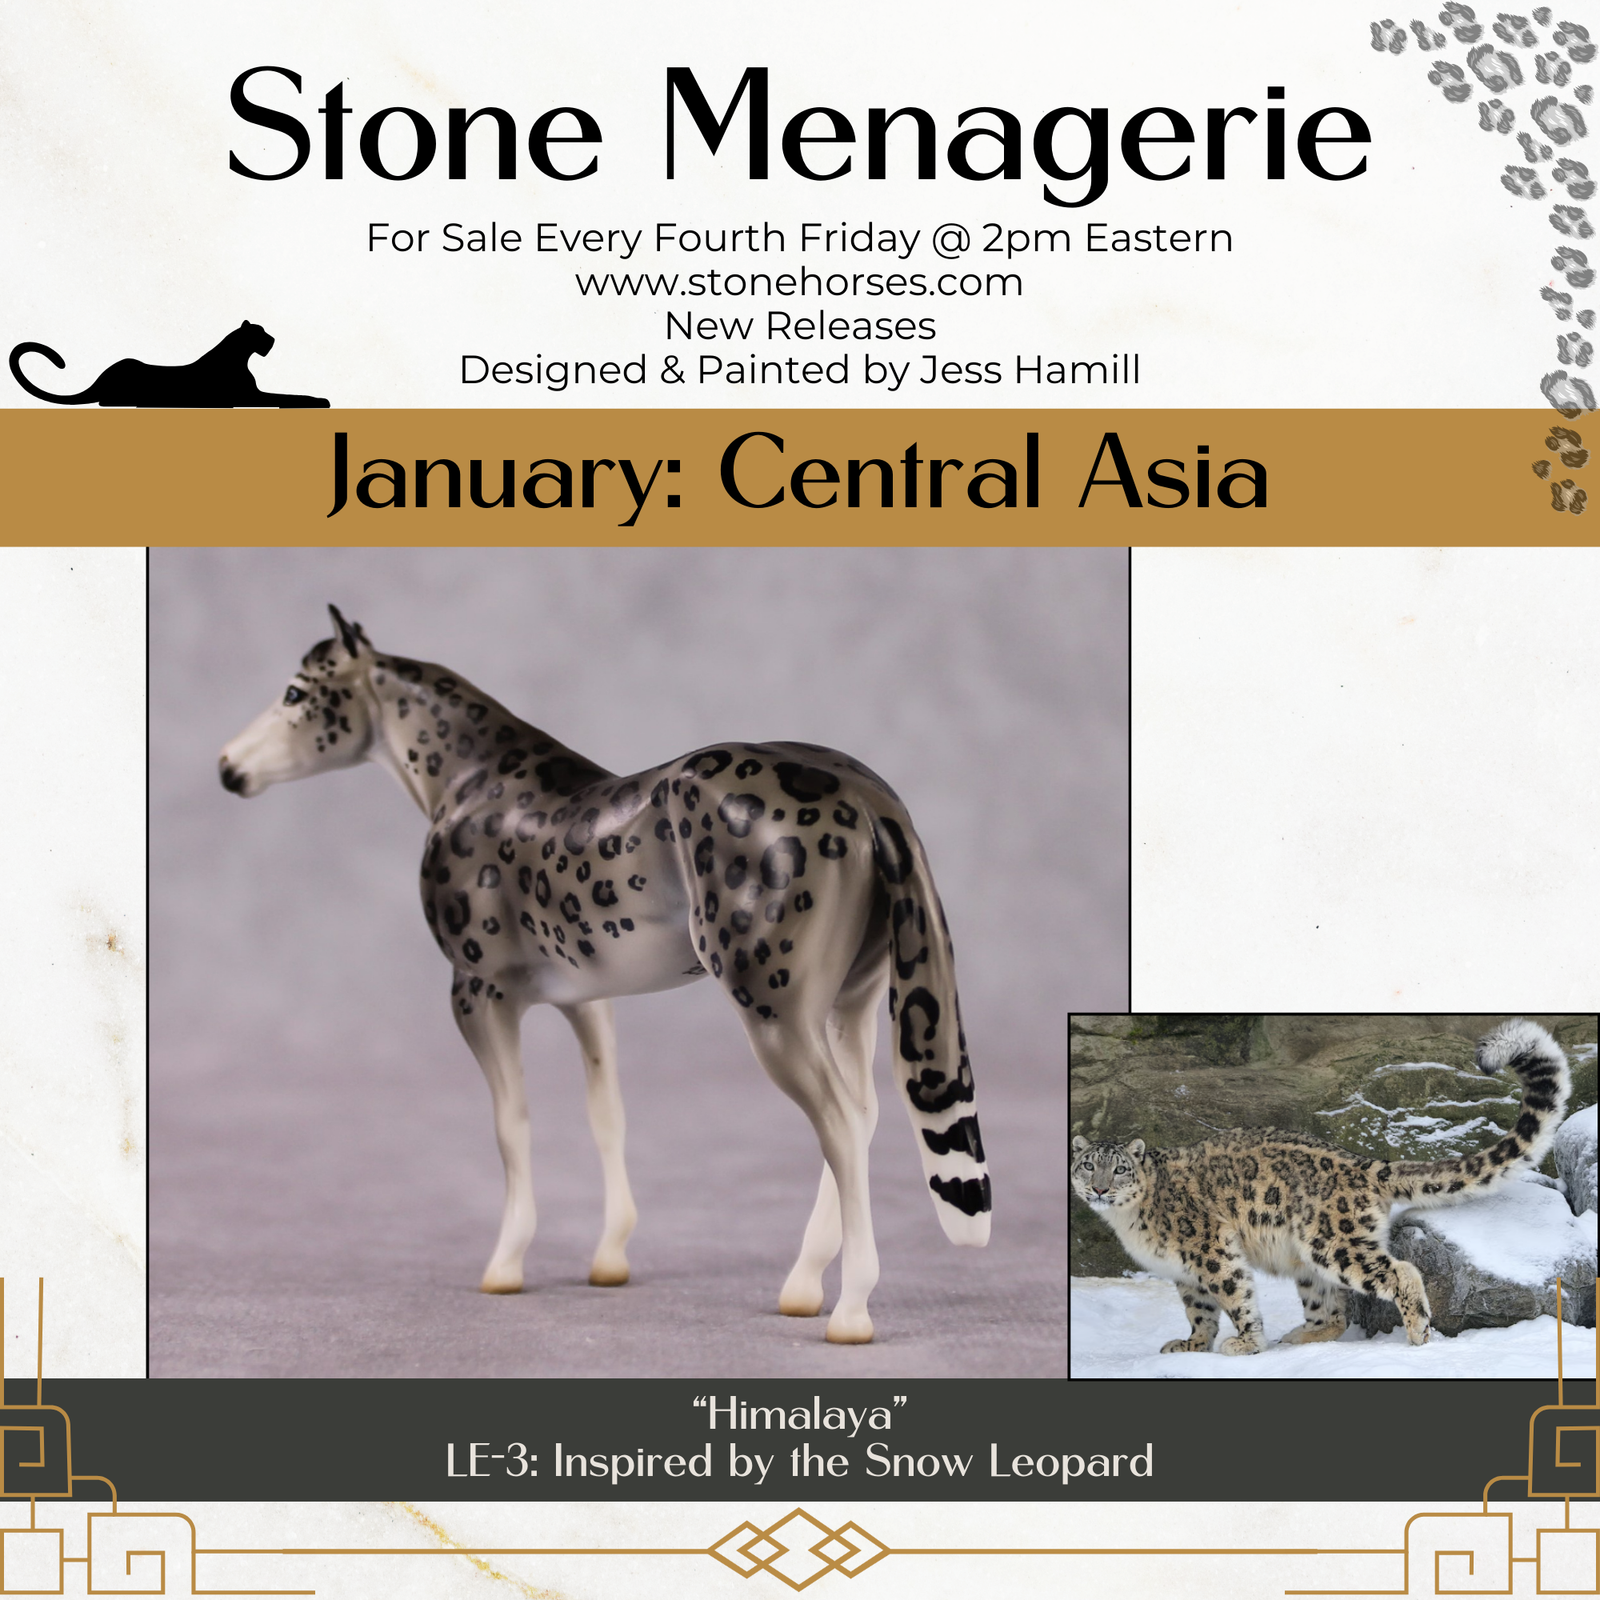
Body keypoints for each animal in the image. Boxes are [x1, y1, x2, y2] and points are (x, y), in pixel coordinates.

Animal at [1071, 1017, 1570, 1354]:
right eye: (1087, 1165)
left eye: (1118, 1169)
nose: (1099, 1190)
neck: (1128, 1221)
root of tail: (1364, 1164)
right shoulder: (1184, 1271)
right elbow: (1200, 1311)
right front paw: (1192, 1345)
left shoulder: (1211, 1250)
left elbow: (1235, 1295)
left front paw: (1245, 1344)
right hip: (1308, 1259)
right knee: (1330, 1308)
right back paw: (1302, 1335)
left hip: (1334, 1242)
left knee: (1400, 1272)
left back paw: (1417, 1333)